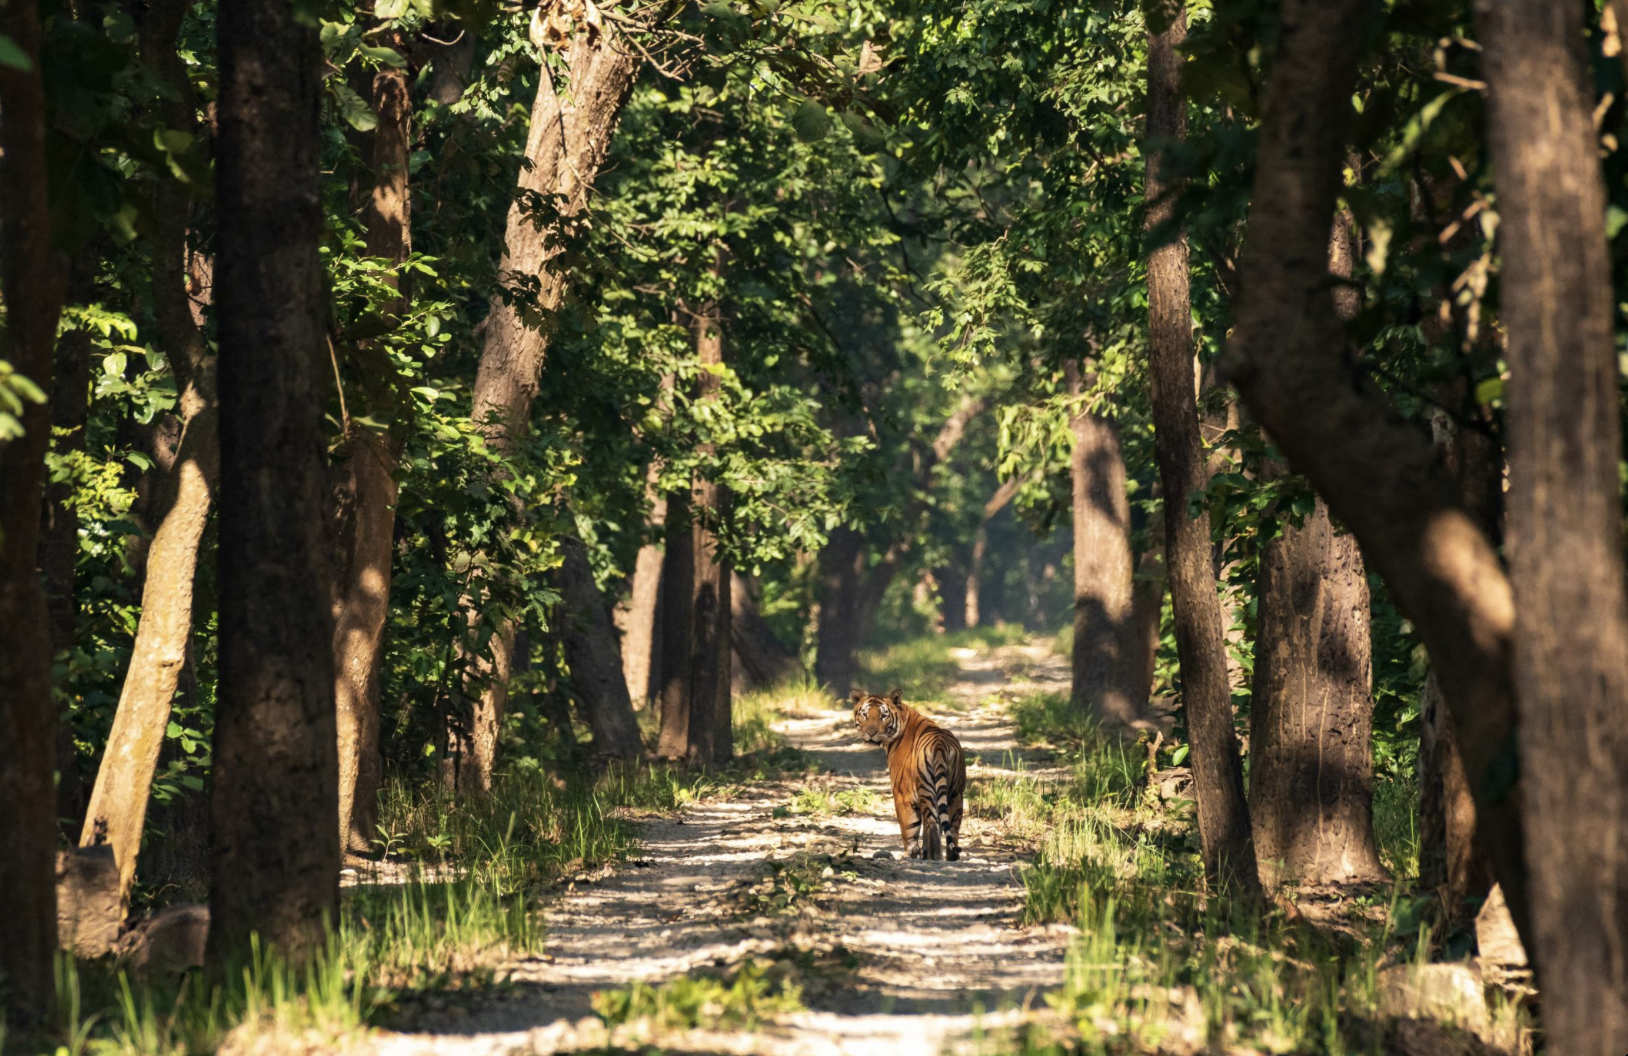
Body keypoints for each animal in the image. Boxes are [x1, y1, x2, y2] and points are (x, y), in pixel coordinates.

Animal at [851, 688, 966, 861]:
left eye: (883, 716)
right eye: (864, 714)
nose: (871, 732)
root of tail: (939, 743)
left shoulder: (902, 795)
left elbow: (909, 829)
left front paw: (910, 855)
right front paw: (924, 854)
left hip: (927, 791)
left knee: (932, 825)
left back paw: (935, 857)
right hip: (955, 794)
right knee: (951, 829)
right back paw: (951, 859)